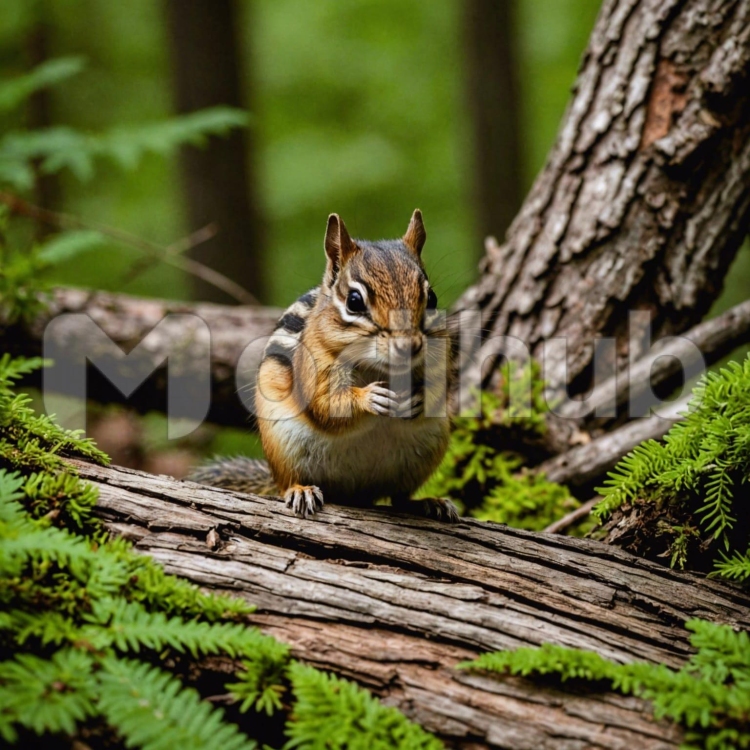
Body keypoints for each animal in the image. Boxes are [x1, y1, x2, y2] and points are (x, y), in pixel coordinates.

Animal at [189, 210, 457, 522]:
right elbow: (326, 405)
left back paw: (429, 504)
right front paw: (369, 397)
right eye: (354, 301)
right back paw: (301, 491)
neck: (380, 368)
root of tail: (356, 494)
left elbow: (440, 390)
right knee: (286, 482)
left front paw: (419, 398)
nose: (409, 347)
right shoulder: (316, 366)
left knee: (400, 498)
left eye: (432, 299)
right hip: (283, 446)